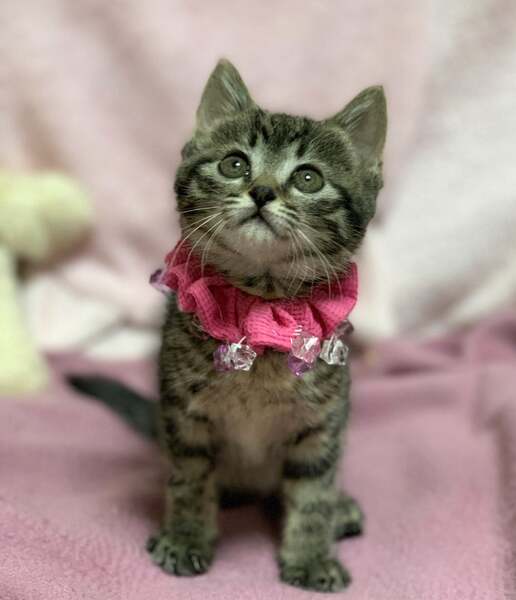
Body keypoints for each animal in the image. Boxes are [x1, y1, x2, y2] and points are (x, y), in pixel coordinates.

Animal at [71, 58, 387, 592]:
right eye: (234, 164)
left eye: (308, 177)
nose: (261, 191)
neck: (262, 304)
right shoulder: (184, 415)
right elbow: (190, 480)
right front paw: (186, 537)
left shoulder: (322, 422)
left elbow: (314, 492)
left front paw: (310, 556)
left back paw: (340, 508)